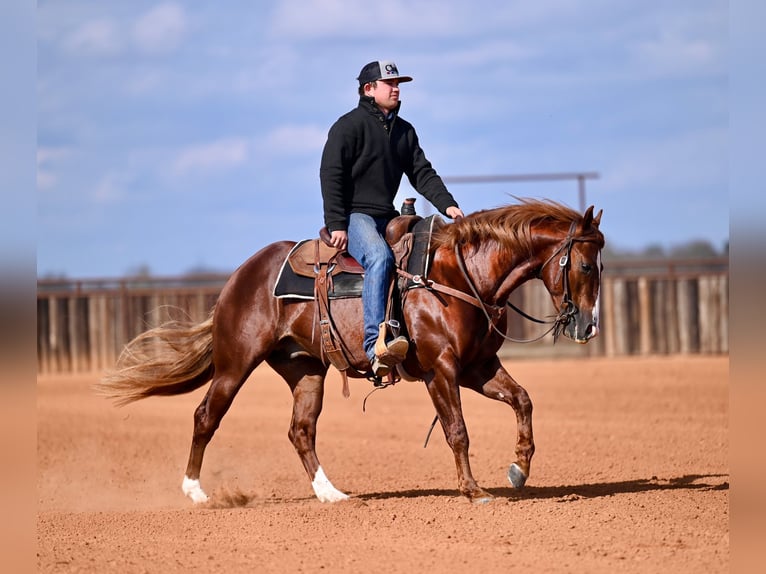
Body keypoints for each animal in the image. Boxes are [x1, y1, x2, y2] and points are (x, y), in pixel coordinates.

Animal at [97, 198, 605, 504]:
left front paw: (518, 468)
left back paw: (331, 494)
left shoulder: (477, 367)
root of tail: (238, 276)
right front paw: (473, 489)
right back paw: (196, 492)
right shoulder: (442, 369)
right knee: (206, 416)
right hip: (235, 364)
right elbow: (457, 430)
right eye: (584, 265)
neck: (458, 275)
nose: (588, 325)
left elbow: (523, 400)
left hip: (305, 371)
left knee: (300, 431)